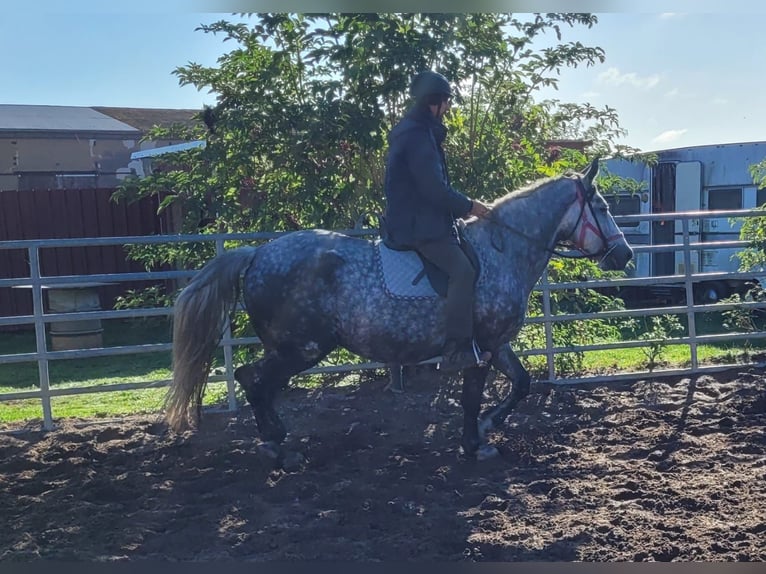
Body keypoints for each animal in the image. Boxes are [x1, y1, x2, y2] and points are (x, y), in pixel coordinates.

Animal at [165, 158, 632, 464]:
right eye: (604, 207)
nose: (624, 254)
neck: (502, 251)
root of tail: (257, 253)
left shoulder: (496, 344)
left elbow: (522, 383)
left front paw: (486, 428)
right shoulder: (479, 347)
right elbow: (471, 397)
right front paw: (475, 443)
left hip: (294, 348)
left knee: (252, 380)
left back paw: (274, 439)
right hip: (303, 348)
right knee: (254, 380)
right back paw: (278, 447)